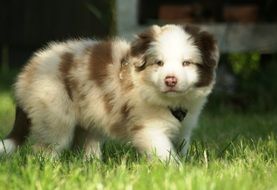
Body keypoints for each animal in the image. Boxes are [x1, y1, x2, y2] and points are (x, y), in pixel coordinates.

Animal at [0, 23, 219, 160]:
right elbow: (164, 152)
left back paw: (92, 164)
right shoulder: (149, 128)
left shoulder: (184, 129)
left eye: (186, 63)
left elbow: (181, 147)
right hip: (55, 114)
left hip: (88, 117)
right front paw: (175, 169)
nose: (170, 80)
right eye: (159, 63)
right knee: (45, 149)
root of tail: (27, 73)